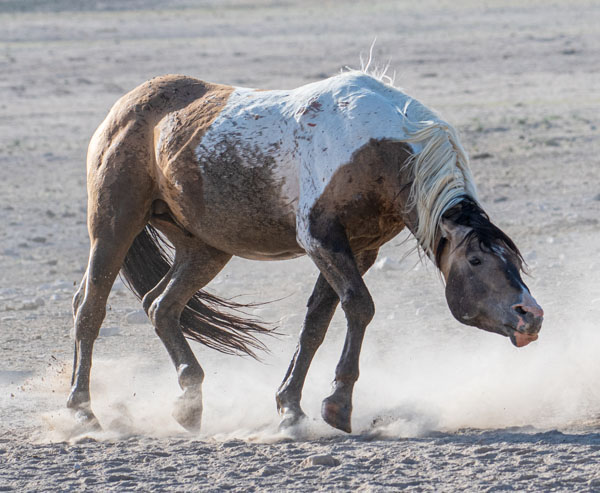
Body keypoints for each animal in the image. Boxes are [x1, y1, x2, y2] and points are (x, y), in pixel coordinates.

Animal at [69, 71, 544, 432]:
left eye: (515, 261)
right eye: (476, 260)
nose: (532, 316)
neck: (377, 149)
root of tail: (126, 107)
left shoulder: (359, 250)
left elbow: (316, 323)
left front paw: (290, 407)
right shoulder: (321, 240)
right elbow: (359, 307)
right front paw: (338, 404)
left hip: (203, 248)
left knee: (161, 306)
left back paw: (190, 403)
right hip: (113, 226)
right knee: (89, 307)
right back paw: (81, 412)